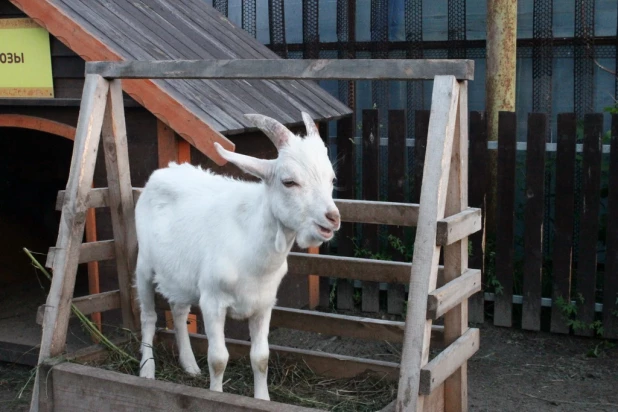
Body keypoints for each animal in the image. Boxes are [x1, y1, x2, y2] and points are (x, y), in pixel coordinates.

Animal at [134, 112, 342, 400]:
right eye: (289, 181)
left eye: (331, 179)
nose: (332, 219)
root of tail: (162, 172)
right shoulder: (212, 302)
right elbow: (218, 358)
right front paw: (216, 396)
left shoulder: (264, 304)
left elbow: (261, 357)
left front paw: (262, 399)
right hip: (144, 263)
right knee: (148, 316)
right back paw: (147, 371)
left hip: (180, 274)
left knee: (178, 310)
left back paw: (189, 365)